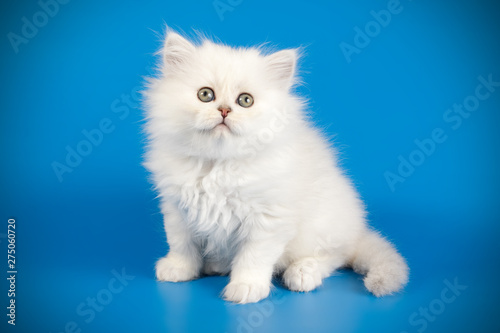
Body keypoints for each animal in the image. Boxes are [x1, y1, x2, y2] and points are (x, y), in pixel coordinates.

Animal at [143, 31, 408, 304]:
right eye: (206, 95)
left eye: (245, 101)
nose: (225, 110)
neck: (219, 164)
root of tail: (357, 231)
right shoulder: (177, 210)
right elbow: (181, 245)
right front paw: (179, 269)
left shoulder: (268, 219)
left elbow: (253, 258)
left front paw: (246, 287)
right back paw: (216, 264)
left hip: (319, 228)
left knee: (333, 257)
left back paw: (302, 273)